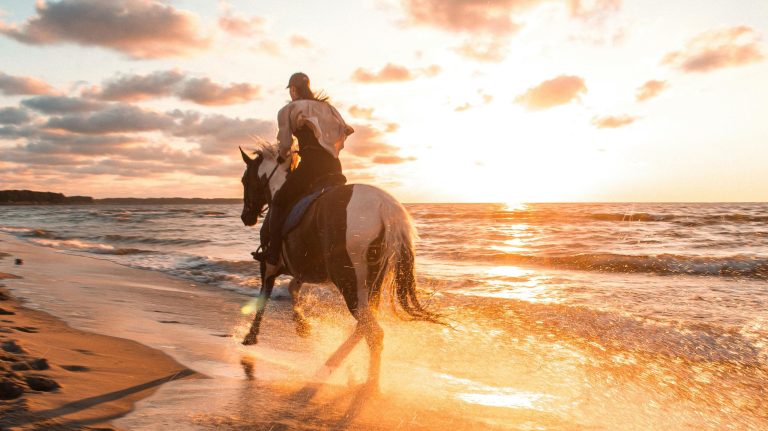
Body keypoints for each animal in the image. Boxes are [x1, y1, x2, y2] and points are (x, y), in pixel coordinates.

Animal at [239, 145, 436, 389]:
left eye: (244, 180)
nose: (246, 217)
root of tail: (384, 206)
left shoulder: (269, 267)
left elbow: (263, 298)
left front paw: (251, 336)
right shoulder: (306, 268)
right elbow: (293, 288)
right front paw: (302, 326)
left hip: (348, 281)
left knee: (373, 332)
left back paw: (368, 382)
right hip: (369, 283)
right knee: (364, 326)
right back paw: (337, 362)